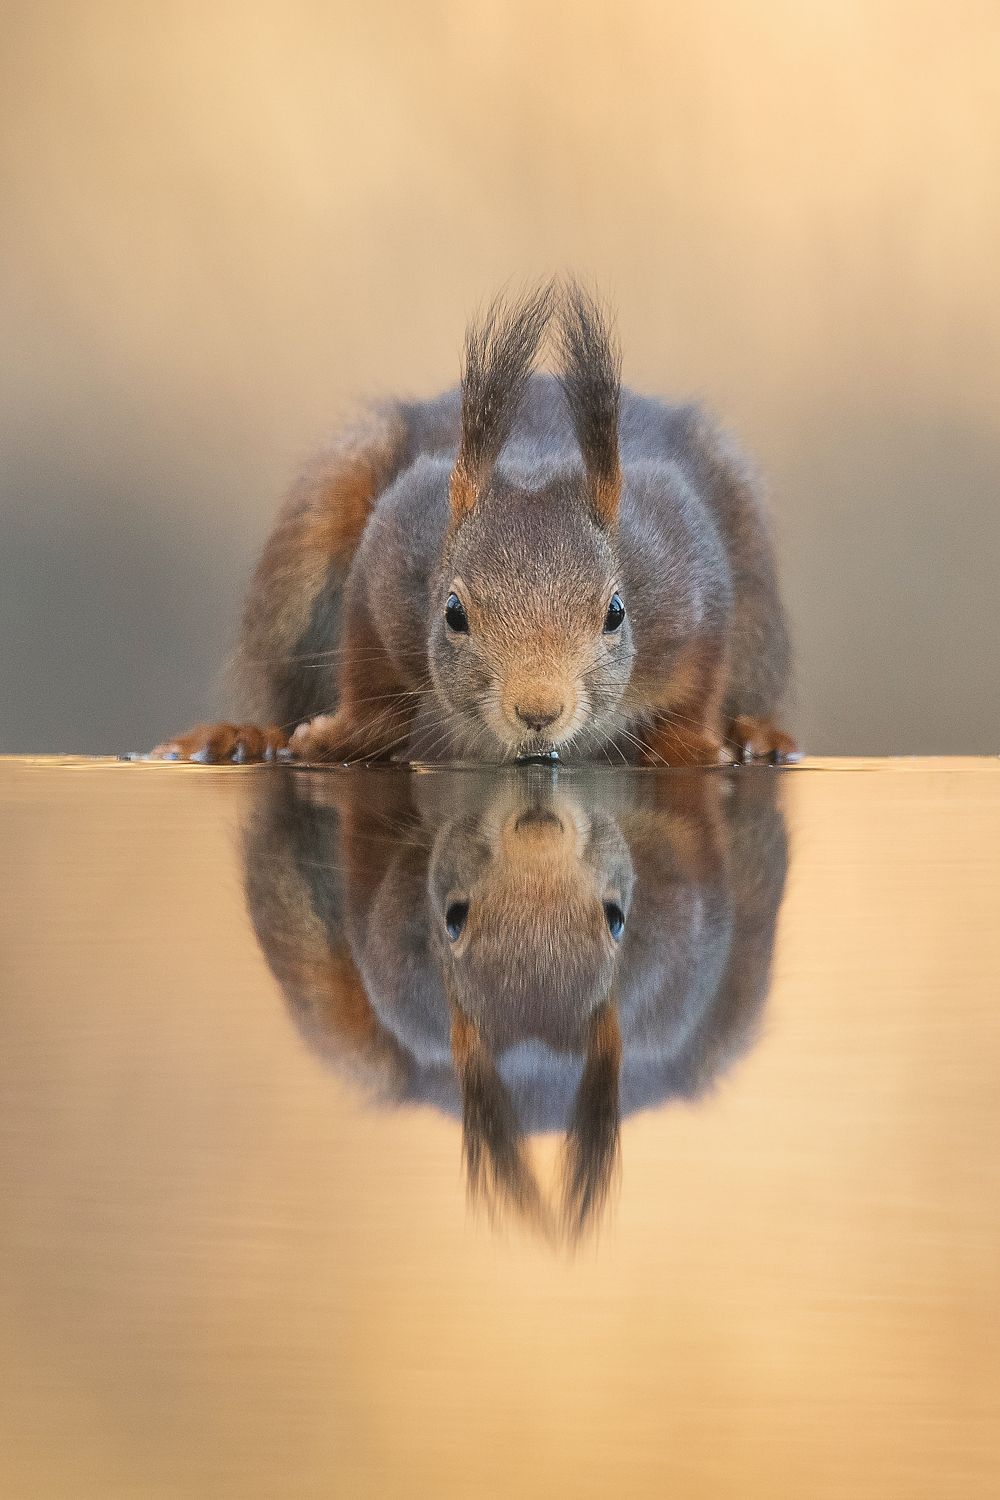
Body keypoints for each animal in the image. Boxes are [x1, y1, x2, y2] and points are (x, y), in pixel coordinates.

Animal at [153, 280, 796, 766]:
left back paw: (758, 735)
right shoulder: (393, 554)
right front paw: (338, 736)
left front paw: (694, 747)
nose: (537, 712)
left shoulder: (687, 574)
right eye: (453, 613)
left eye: (616, 613)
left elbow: (699, 686)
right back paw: (243, 737)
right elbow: (370, 685)